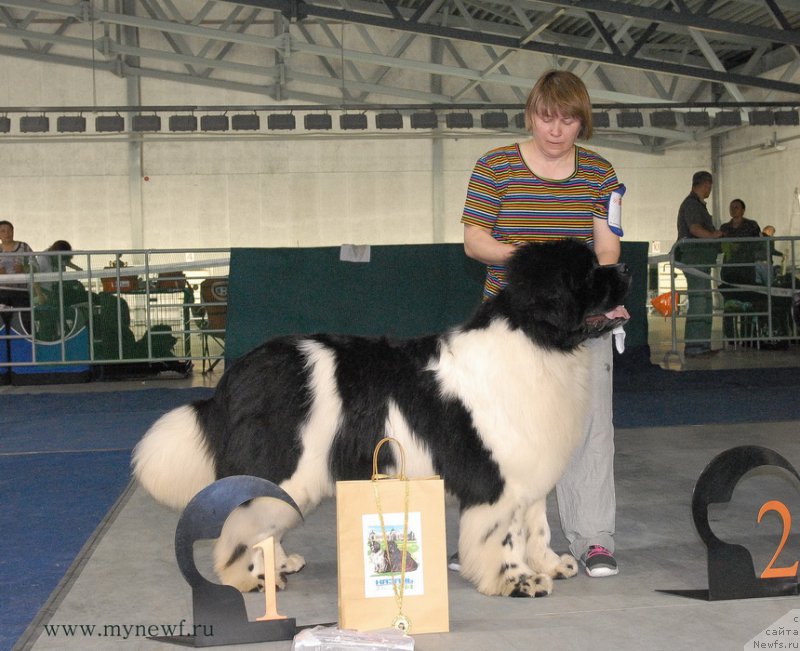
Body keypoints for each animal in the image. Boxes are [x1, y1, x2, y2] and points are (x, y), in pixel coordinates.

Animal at [131, 241, 632, 600]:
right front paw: (518, 581)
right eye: (589, 273)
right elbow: (504, 536)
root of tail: (239, 373)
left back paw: (278, 563)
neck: (538, 339)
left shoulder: (527, 470)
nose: (626, 268)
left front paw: (549, 564)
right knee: (241, 524)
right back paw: (249, 578)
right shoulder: (497, 479)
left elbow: (536, 525)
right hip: (284, 467)